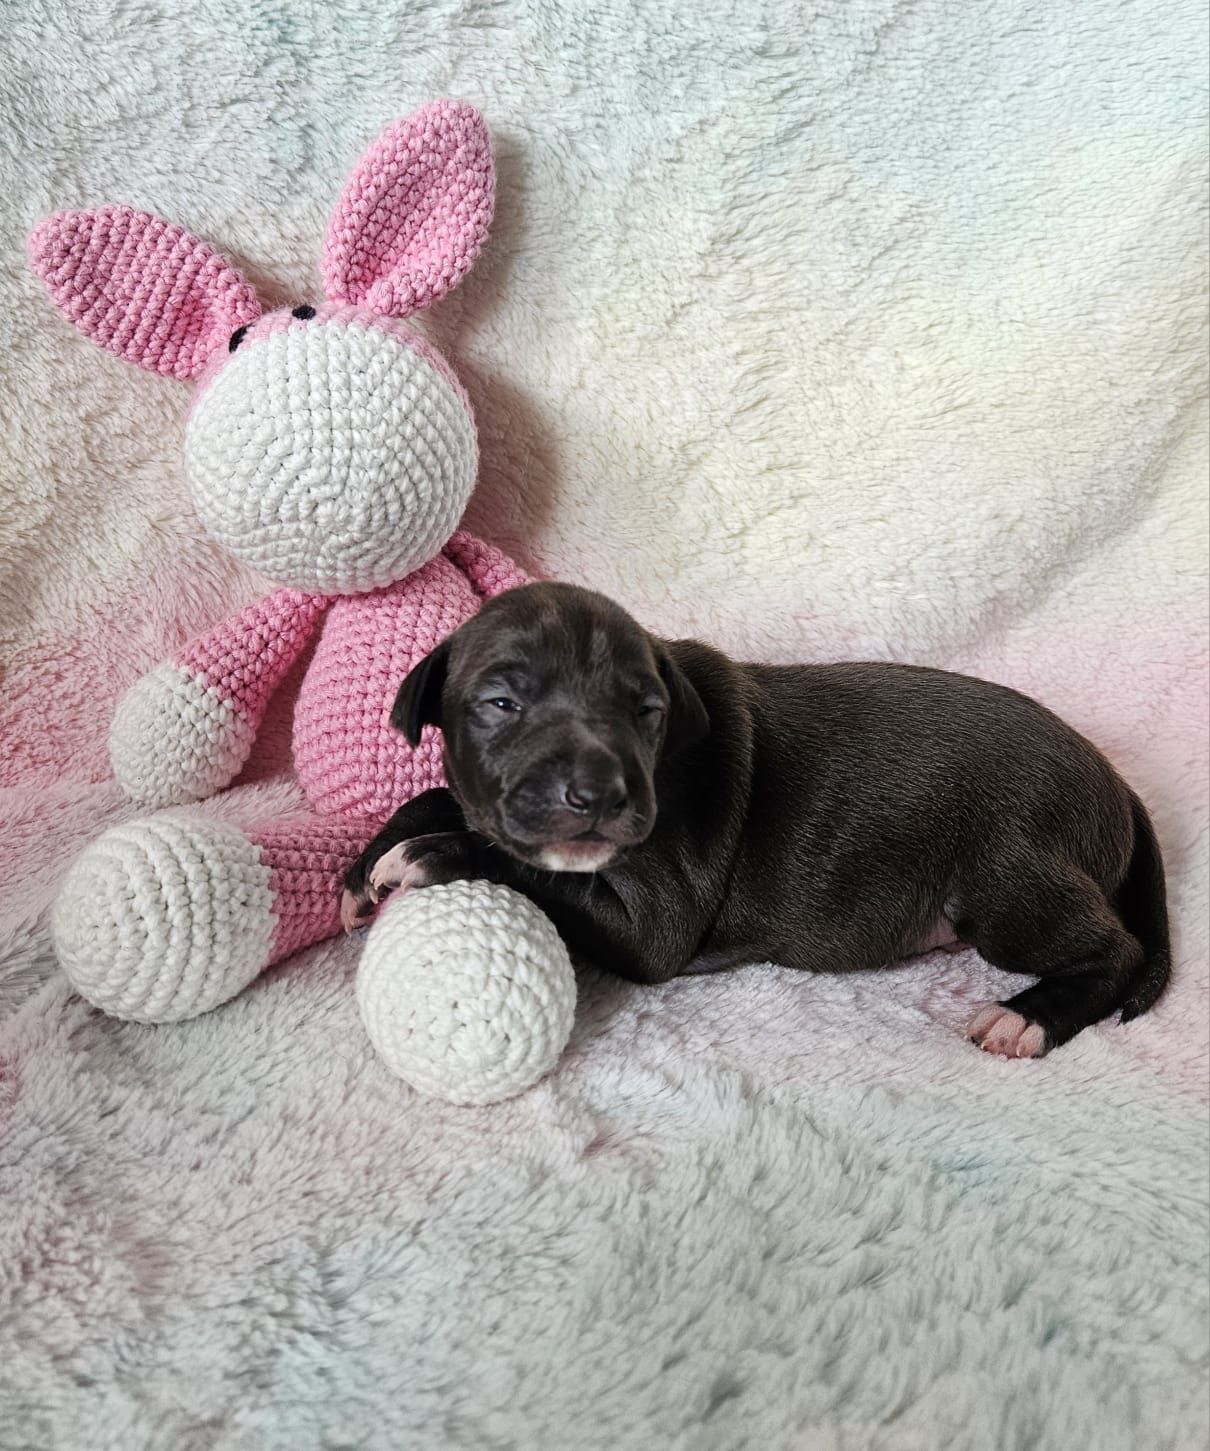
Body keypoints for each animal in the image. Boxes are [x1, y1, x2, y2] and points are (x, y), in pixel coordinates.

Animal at [343, 582, 1171, 1057]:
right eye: (501, 702)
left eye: (647, 711)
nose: (600, 794)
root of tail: (1119, 783)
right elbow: (445, 799)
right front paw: (363, 866)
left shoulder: (654, 922)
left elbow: (532, 869)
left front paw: (428, 855)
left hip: (1005, 878)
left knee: (1117, 948)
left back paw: (1027, 1017)